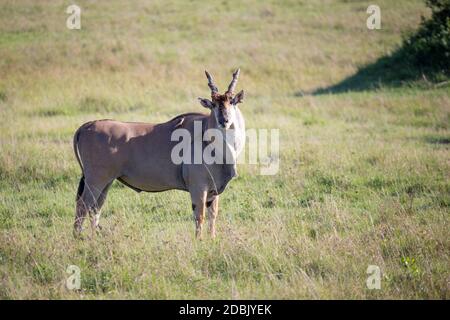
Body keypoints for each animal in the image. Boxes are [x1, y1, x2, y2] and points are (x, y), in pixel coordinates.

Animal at [73, 70, 246, 240]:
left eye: (232, 102)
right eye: (213, 104)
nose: (224, 120)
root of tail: (86, 126)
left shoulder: (213, 190)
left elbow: (213, 215)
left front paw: (212, 240)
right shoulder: (199, 187)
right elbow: (200, 216)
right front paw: (199, 242)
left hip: (106, 182)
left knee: (95, 208)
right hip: (96, 180)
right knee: (83, 205)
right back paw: (78, 237)